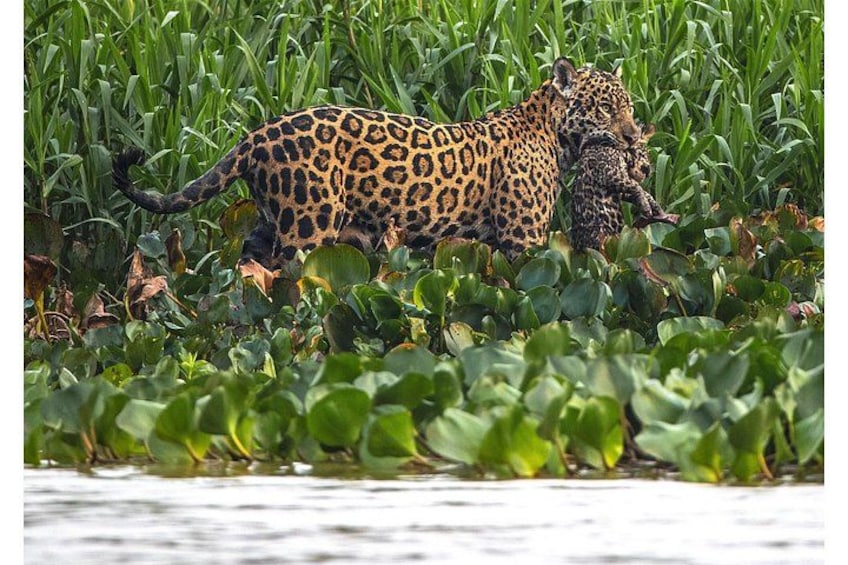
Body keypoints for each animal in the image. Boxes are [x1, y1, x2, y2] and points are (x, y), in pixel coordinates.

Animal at [113, 57, 642, 268]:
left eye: (629, 105)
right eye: (604, 107)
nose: (634, 135)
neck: (553, 134)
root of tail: (256, 135)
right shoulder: (523, 241)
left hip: (269, 226)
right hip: (308, 228)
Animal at [570, 123, 678, 252]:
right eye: (644, 154)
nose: (648, 171)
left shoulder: (620, 187)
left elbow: (641, 192)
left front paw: (657, 209)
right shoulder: (611, 174)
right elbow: (636, 186)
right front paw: (646, 207)